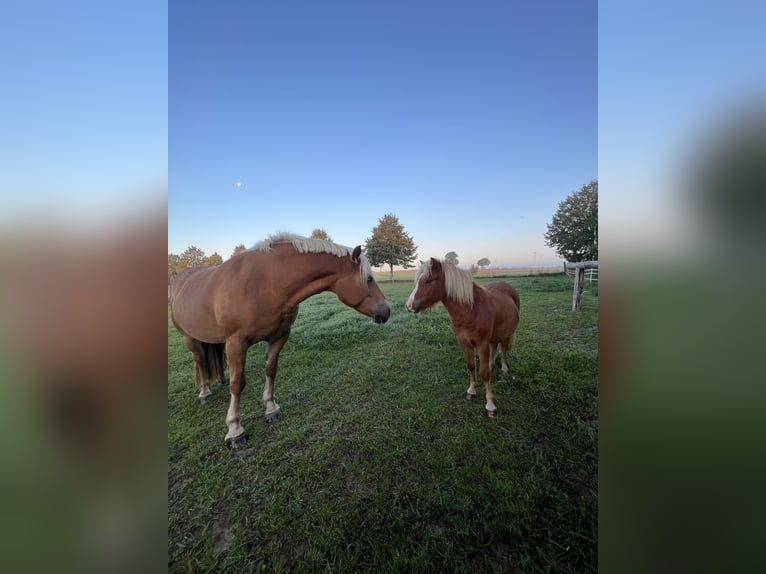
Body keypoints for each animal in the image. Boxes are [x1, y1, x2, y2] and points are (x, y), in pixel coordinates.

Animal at [170, 235, 390, 450]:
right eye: (369, 279)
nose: (387, 311)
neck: (266, 282)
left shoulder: (279, 336)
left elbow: (271, 370)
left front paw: (271, 408)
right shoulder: (236, 342)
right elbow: (238, 383)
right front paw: (234, 430)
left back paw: (220, 380)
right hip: (189, 338)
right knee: (199, 361)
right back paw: (204, 392)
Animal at [408, 258, 520, 416]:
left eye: (428, 281)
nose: (409, 306)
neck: (472, 310)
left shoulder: (482, 344)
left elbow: (484, 373)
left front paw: (490, 405)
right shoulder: (464, 343)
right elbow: (471, 366)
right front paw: (472, 391)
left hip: (507, 333)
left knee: (503, 348)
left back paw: (504, 368)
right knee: (495, 346)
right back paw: (491, 364)